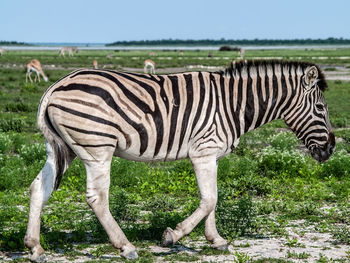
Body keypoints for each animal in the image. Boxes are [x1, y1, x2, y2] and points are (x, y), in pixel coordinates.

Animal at [23, 60, 334, 262]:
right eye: (320, 108)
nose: (330, 149)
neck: (234, 105)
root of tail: (56, 86)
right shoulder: (203, 152)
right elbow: (209, 199)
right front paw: (173, 235)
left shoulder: (211, 155)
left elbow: (214, 198)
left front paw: (216, 240)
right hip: (97, 147)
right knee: (97, 197)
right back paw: (125, 247)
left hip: (62, 147)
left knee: (39, 186)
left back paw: (35, 247)